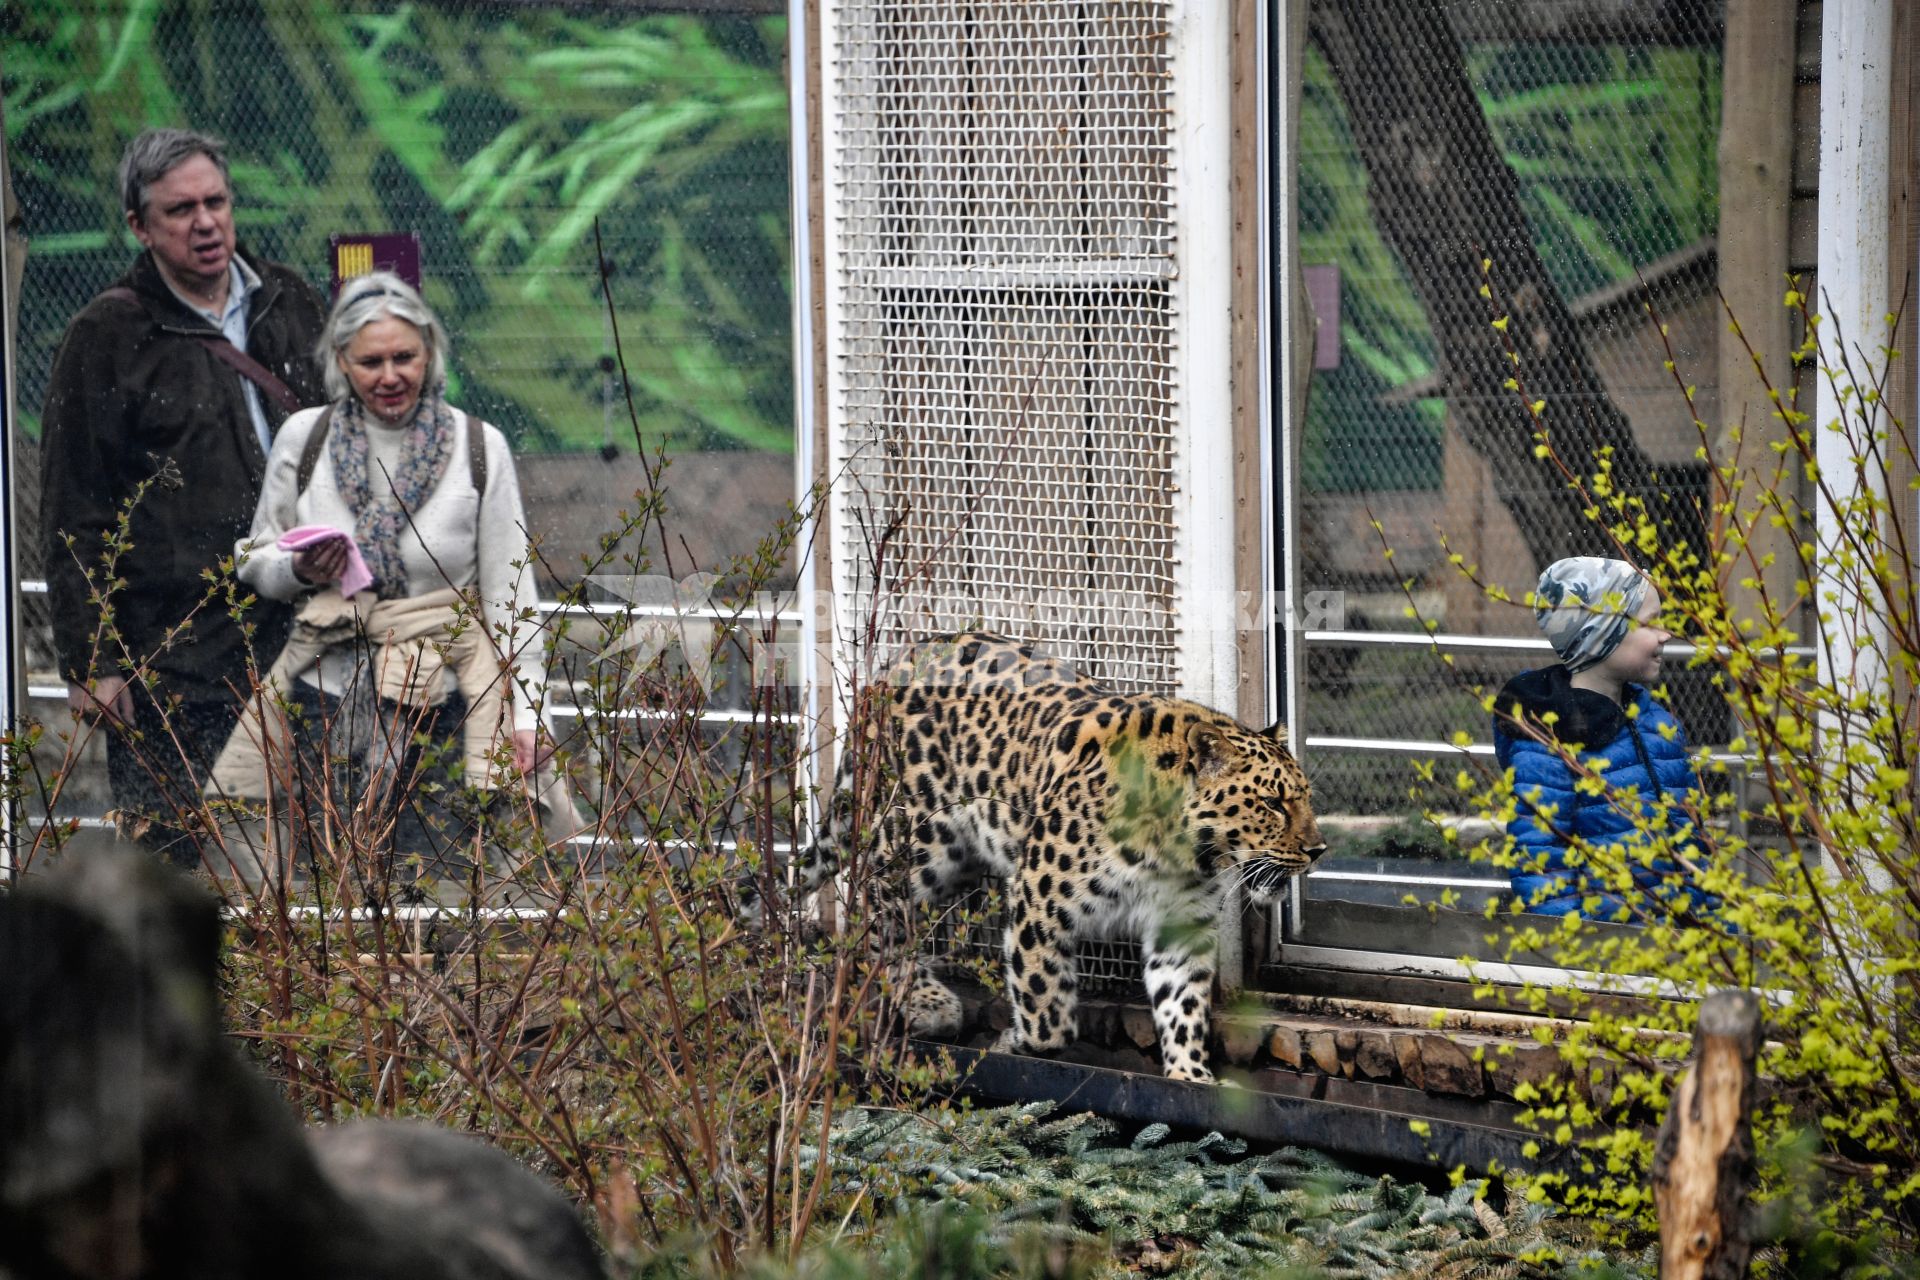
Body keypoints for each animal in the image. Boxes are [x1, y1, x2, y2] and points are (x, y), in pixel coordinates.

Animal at [802, 637, 1328, 1090]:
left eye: (1304, 797)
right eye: (1273, 803)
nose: (1318, 850)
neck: (1179, 850)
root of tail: (896, 662)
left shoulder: (1181, 922)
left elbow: (1183, 1004)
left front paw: (1191, 1076)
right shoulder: (1037, 897)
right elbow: (1045, 1008)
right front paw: (1017, 1042)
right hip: (917, 841)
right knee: (873, 911)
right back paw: (926, 999)